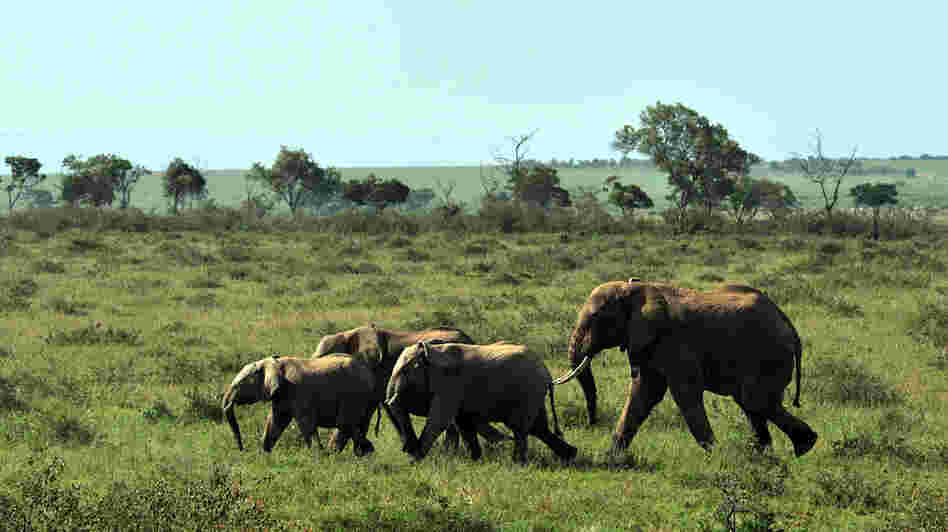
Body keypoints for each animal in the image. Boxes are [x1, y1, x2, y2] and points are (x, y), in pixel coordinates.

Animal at [222, 354, 377, 456]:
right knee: (356, 427)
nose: (242, 450)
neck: (275, 363)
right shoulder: (281, 395)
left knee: (345, 425)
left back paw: (333, 455)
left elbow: (305, 423)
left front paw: (316, 455)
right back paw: (364, 453)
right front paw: (264, 454)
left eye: (237, 385)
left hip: (354, 395)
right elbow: (275, 422)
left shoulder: (298, 391)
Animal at [385, 341, 577, 464]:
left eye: (405, 370)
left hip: (528, 392)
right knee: (539, 428)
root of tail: (547, 374)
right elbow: (463, 423)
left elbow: (439, 420)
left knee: (521, 428)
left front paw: (414, 462)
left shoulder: (449, 385)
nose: (407, 450)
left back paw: (517, 463)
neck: (431, 350)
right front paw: (475, 460)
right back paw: (570, 455)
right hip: (533, 395)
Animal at [553, 279, 818, 458]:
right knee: (752, 404)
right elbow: (643, 394)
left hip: (768, 354)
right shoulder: (649, 343)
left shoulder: (674, 343)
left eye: (595, 317)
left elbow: (684, 394)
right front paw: (612, 458)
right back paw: (766, 455)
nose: (592, 423)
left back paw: (804, 446)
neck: (638, 288)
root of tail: (789, 326)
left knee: (754, 400)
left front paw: (715, 455)